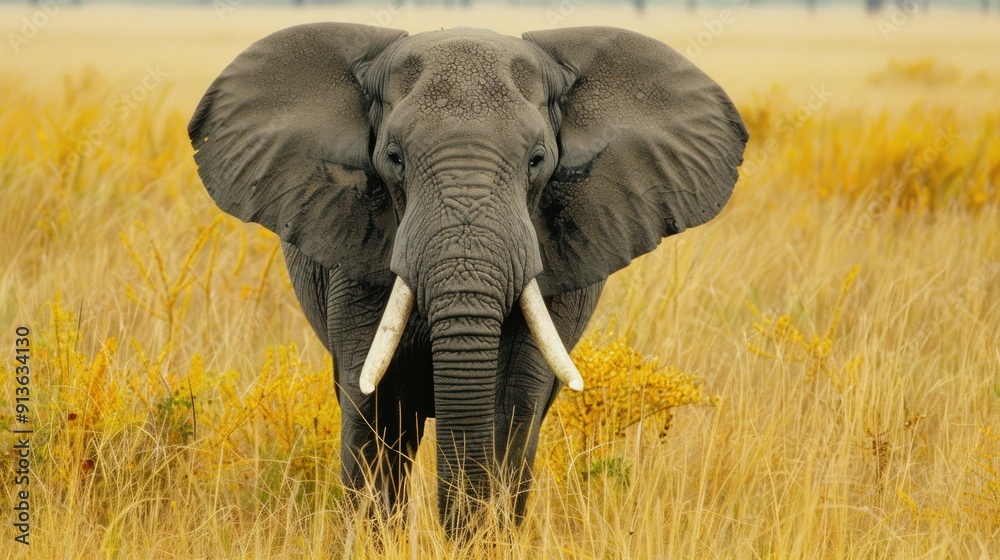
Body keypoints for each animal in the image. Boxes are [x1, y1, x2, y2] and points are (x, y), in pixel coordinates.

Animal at [188, 22, 747, 533]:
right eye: (394, 158)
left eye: (538, 160)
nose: (453, 527)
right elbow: (373, 406)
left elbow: (513, 405)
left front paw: (483, 535)